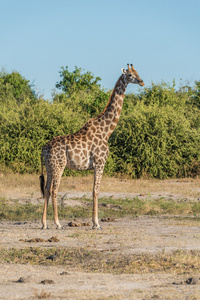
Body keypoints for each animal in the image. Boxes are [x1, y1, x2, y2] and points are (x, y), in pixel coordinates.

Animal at [40, 64, 144, 230]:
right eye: (130, 75)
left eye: (137, 72)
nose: (141, 82)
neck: (106, 131)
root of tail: (44, 149)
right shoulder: (100, 163)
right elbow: (96, 191)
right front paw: (97, 223)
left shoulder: (96, 165)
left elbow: (94, 190)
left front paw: (95, 222)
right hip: (59, 165)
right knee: (54, 190)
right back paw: (57, 223)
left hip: (49, 167)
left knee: (46, 189)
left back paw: (44, 224)